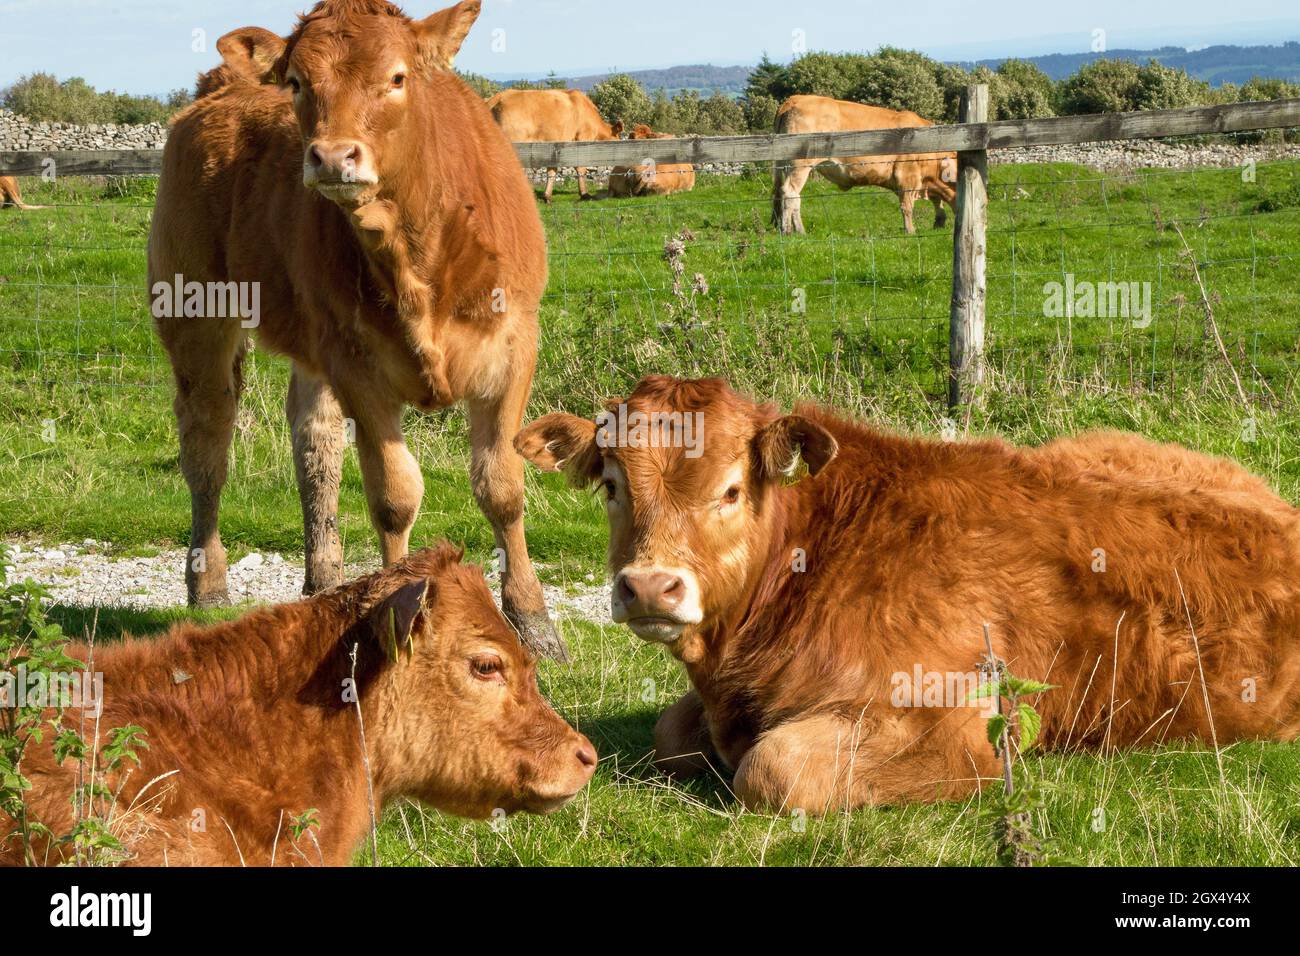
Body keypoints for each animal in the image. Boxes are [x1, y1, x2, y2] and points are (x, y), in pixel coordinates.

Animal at [149, 0, 566, 658]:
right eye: (298, 82)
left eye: (397, 77)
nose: (331, 156)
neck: (417, 251)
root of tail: (220, 87)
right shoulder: (357, 365)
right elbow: (394, 497)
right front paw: (399, 617)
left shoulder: (514, 346)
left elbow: (501, 486)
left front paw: (533, 623)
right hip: (194, 311)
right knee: (207, 443)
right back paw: (208, 586)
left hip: (308, 340)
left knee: (314, 441)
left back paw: (324, 581)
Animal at [488, 89, 626, 202]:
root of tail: (498, 97)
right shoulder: (581, 140)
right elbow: (581, 168)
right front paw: (584, 194)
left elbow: (552, 171)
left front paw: (547, 196)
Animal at [514, 374, 1300, 816]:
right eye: (612, 486)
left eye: (732, 490)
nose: (650, 585)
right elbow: (671, 733)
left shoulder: (960, 715)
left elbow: (772, 771)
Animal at [769, 93, 956, 235]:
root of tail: (793, 99)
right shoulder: (907, 176)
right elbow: (907, 206)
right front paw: (910, 231)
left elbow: (937, 201)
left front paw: (939, 224)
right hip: (800, 165)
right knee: (790, 193)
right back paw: (791, 231)